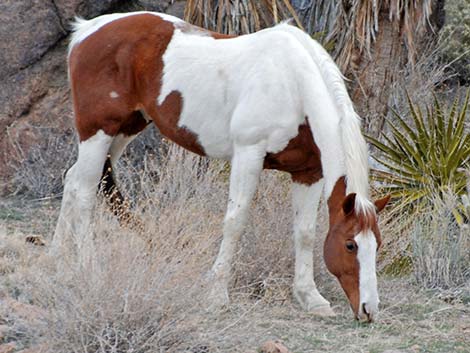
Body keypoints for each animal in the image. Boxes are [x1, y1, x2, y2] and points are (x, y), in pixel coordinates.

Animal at [53, 12, 390, 322]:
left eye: (377, 244)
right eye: (350, 245)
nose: (369, 309)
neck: (292, 83)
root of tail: (87, 30)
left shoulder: (308, 173)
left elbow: (305, 232)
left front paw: (310, 297)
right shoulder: (248, 156)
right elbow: (235, 222)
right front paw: (216, 293)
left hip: (125, 129)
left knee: (73, 181)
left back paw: (58, 262)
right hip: (99, 131)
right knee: (85, 192)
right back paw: (89, 269)